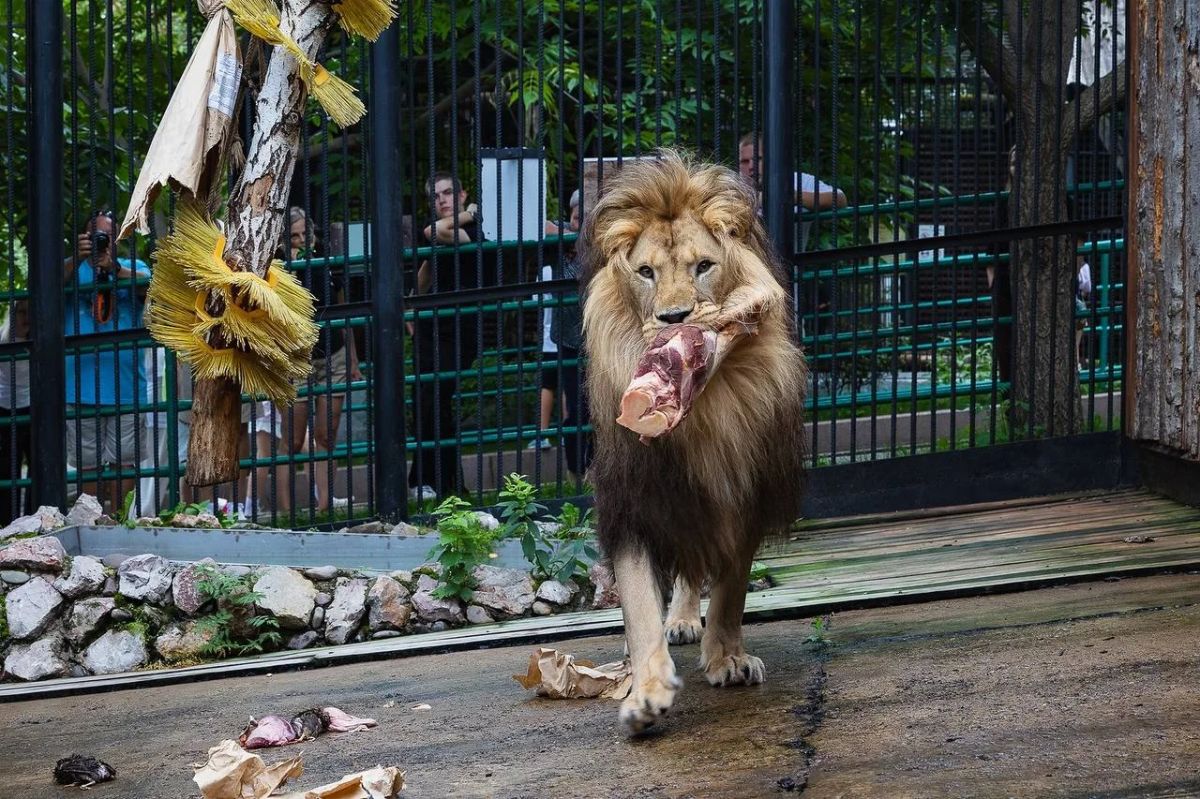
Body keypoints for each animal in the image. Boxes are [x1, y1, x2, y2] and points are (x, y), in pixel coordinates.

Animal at [580, 150, 808, 734]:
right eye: (646, 273)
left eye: (703, 266)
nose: (675, 319)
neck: (706, 408)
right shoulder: (633, 499)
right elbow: (640, 603)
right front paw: (646, 693)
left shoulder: (745, 490)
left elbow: (730, 587)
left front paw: (727, 658)